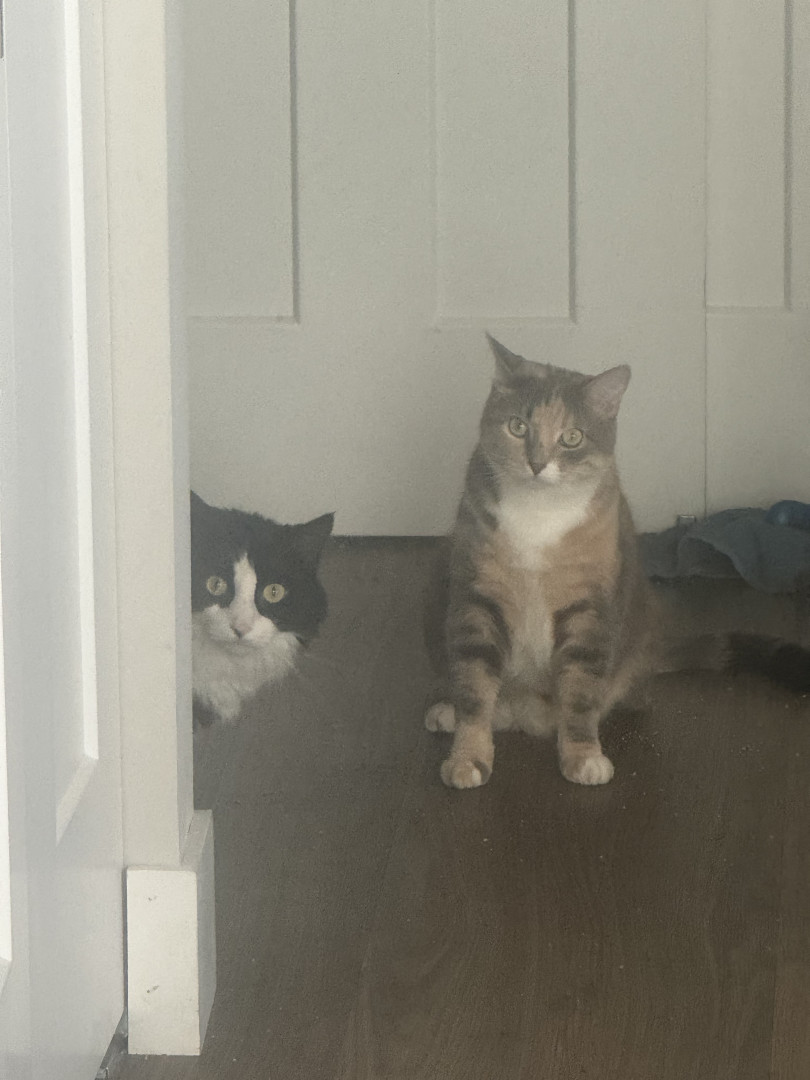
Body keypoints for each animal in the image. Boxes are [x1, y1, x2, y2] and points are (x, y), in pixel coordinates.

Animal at [424, 335, 810, 789]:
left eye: (572, 437)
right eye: (518, 426)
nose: (537, 464)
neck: (537, 518)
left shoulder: (590, 606)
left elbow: (579, 690)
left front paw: (583, 755)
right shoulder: (478, 596)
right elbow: (474, 683)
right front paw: (468, 756)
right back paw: (450, 711)